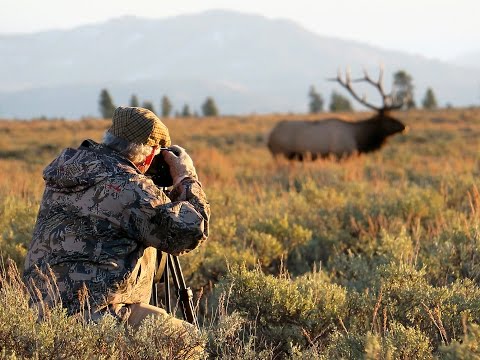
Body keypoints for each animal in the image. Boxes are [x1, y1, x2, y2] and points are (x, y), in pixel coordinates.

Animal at [268, 68, 406, 160]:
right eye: (388, 119)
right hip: (280, 153)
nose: (405, 126)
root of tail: (269, 137)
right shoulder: (341, 155)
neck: (359, 139)